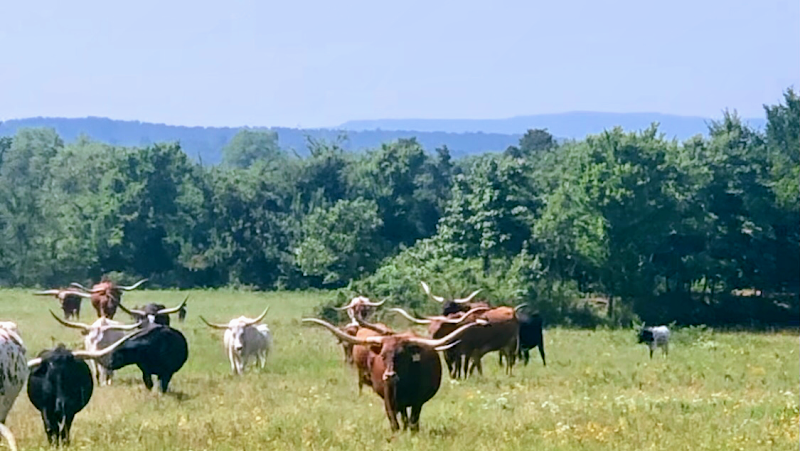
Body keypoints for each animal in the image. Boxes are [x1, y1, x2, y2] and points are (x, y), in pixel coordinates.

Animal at [302, 317, 486, 432]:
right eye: (383, 356)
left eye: (401, 356)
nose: (389, 376)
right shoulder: (388, 399)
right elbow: (394, 421)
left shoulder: (418, 401)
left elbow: (413, 420)